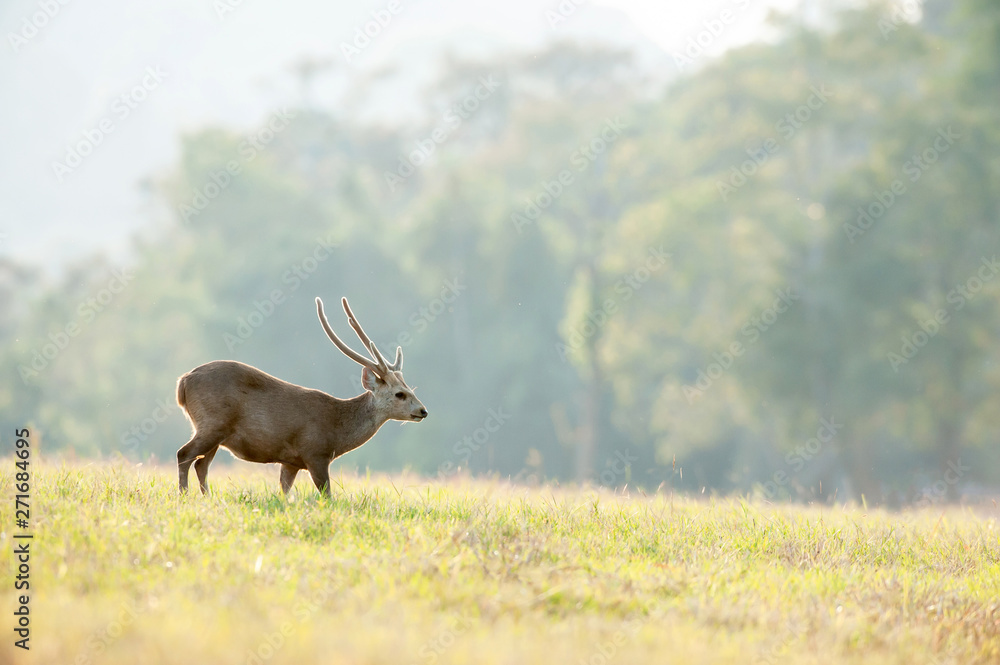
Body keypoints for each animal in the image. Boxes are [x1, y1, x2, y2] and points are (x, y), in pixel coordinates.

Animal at [175, 296, 427, 497]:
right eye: (400, 394)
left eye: (412, 390)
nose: (423, 411)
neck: (337, 432)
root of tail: (184, 381)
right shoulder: (315, 453)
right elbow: (327, 495)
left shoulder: (290, 461)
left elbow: (284, 492)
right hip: (213, 422)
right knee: (184, 454)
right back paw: (185, 496)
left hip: (214, 431)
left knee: (201, 465)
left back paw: (208, 498)